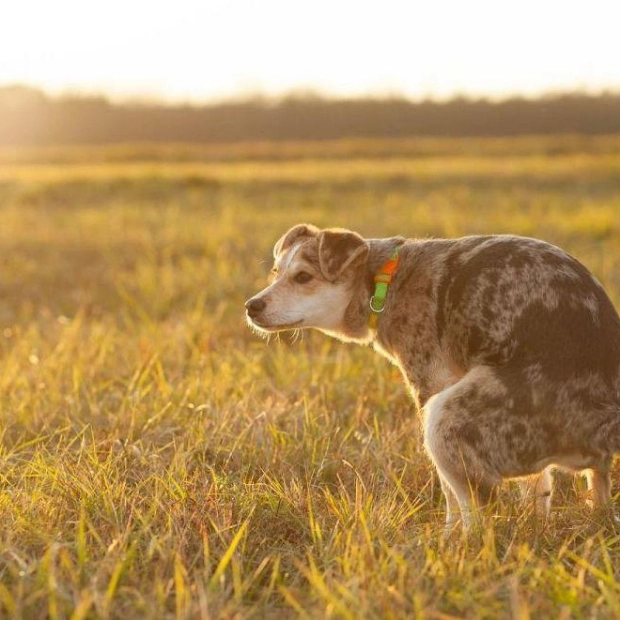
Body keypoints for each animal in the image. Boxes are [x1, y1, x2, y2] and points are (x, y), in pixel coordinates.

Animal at [247, 223, 620, 528]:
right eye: (276, 273)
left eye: (303, 277)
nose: (251, 306)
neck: (382, 280)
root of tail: (605, 425)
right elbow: (539, 487)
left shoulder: (430, 384)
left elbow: (450, 495)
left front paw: (448, 536)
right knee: (582, 485)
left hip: (446, 416)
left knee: (480, 512)